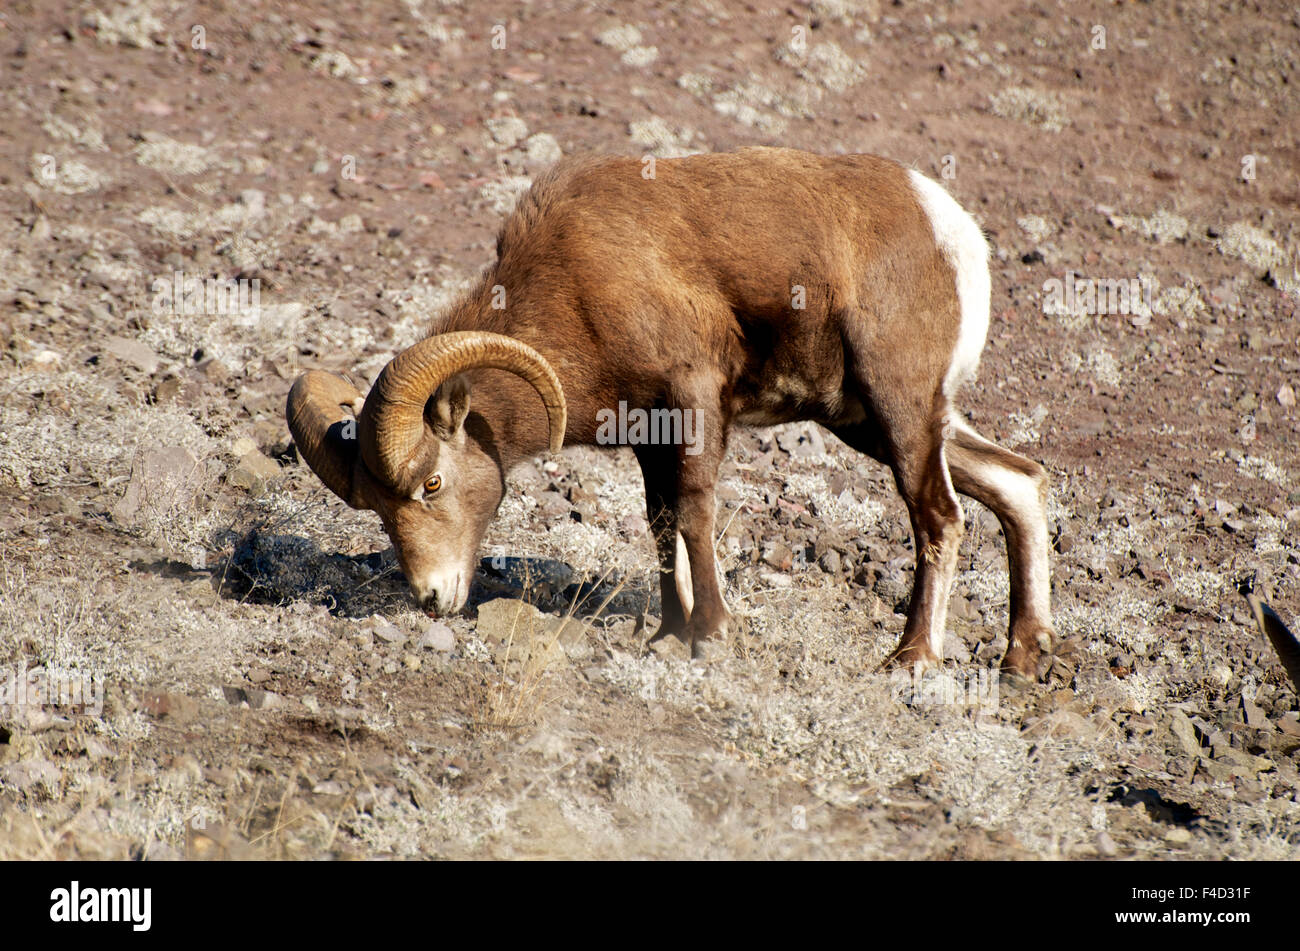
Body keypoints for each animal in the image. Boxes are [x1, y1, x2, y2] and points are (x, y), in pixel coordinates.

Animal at [287, 147, 1055, 680]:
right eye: (379, 510)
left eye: (432, 484)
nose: (429, 597)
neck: (575, 287)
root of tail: (955, 232)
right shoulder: (648, 435)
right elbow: (660, 527)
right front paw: (668, 635)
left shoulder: (693, 403)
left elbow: (692, 515)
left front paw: (711, 635)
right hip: (874, 421)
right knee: (1017, 480)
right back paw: (1023, 656)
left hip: (899, 410)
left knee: (939, 516)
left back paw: (913, 658)